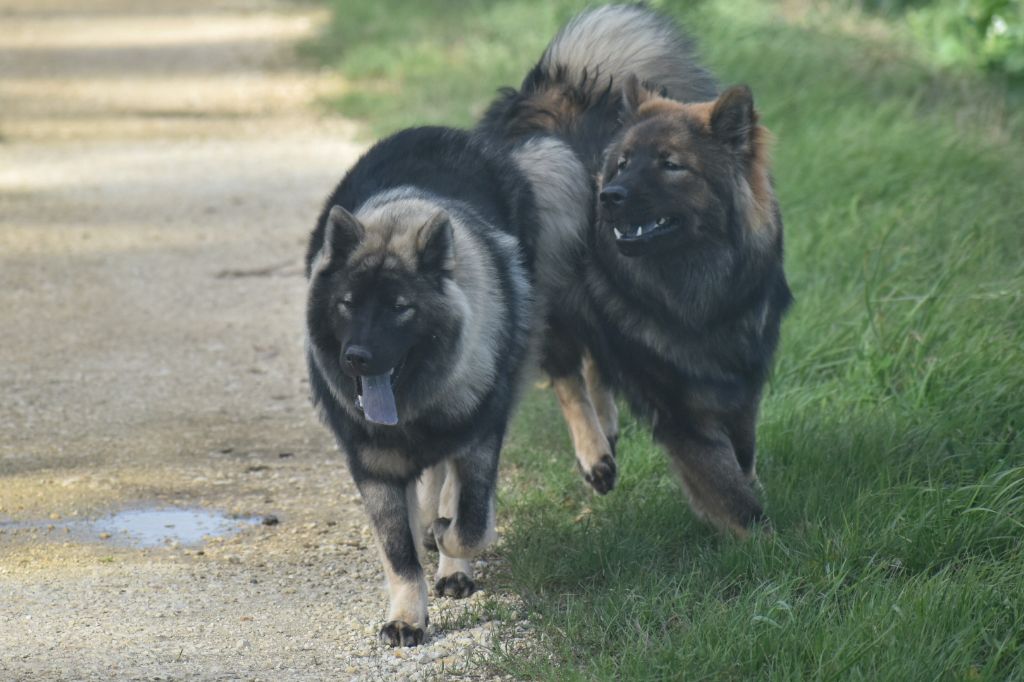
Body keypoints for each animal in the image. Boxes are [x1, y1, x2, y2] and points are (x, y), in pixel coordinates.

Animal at [303, 125, 589, 643]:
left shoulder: (477, 442)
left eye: (400, 307)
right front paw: (406, 618)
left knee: (453, 495)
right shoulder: (375, 470)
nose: (356, 358)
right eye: (348, 303)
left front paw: (448, 543)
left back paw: (452, 563)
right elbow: (400, 554)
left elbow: (471, 523)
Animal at [479, 5, 790, 532]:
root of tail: (553, 86)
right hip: (552, 297)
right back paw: (594, 452)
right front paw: (762, 535)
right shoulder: (677, 402)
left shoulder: (741, 372)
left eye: (670, 165)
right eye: (623, 163)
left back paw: (606, 426)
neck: (697, 291)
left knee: (594, 363)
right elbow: (724, 483)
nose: (608, 196)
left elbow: (743, 453)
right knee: (567, 372)